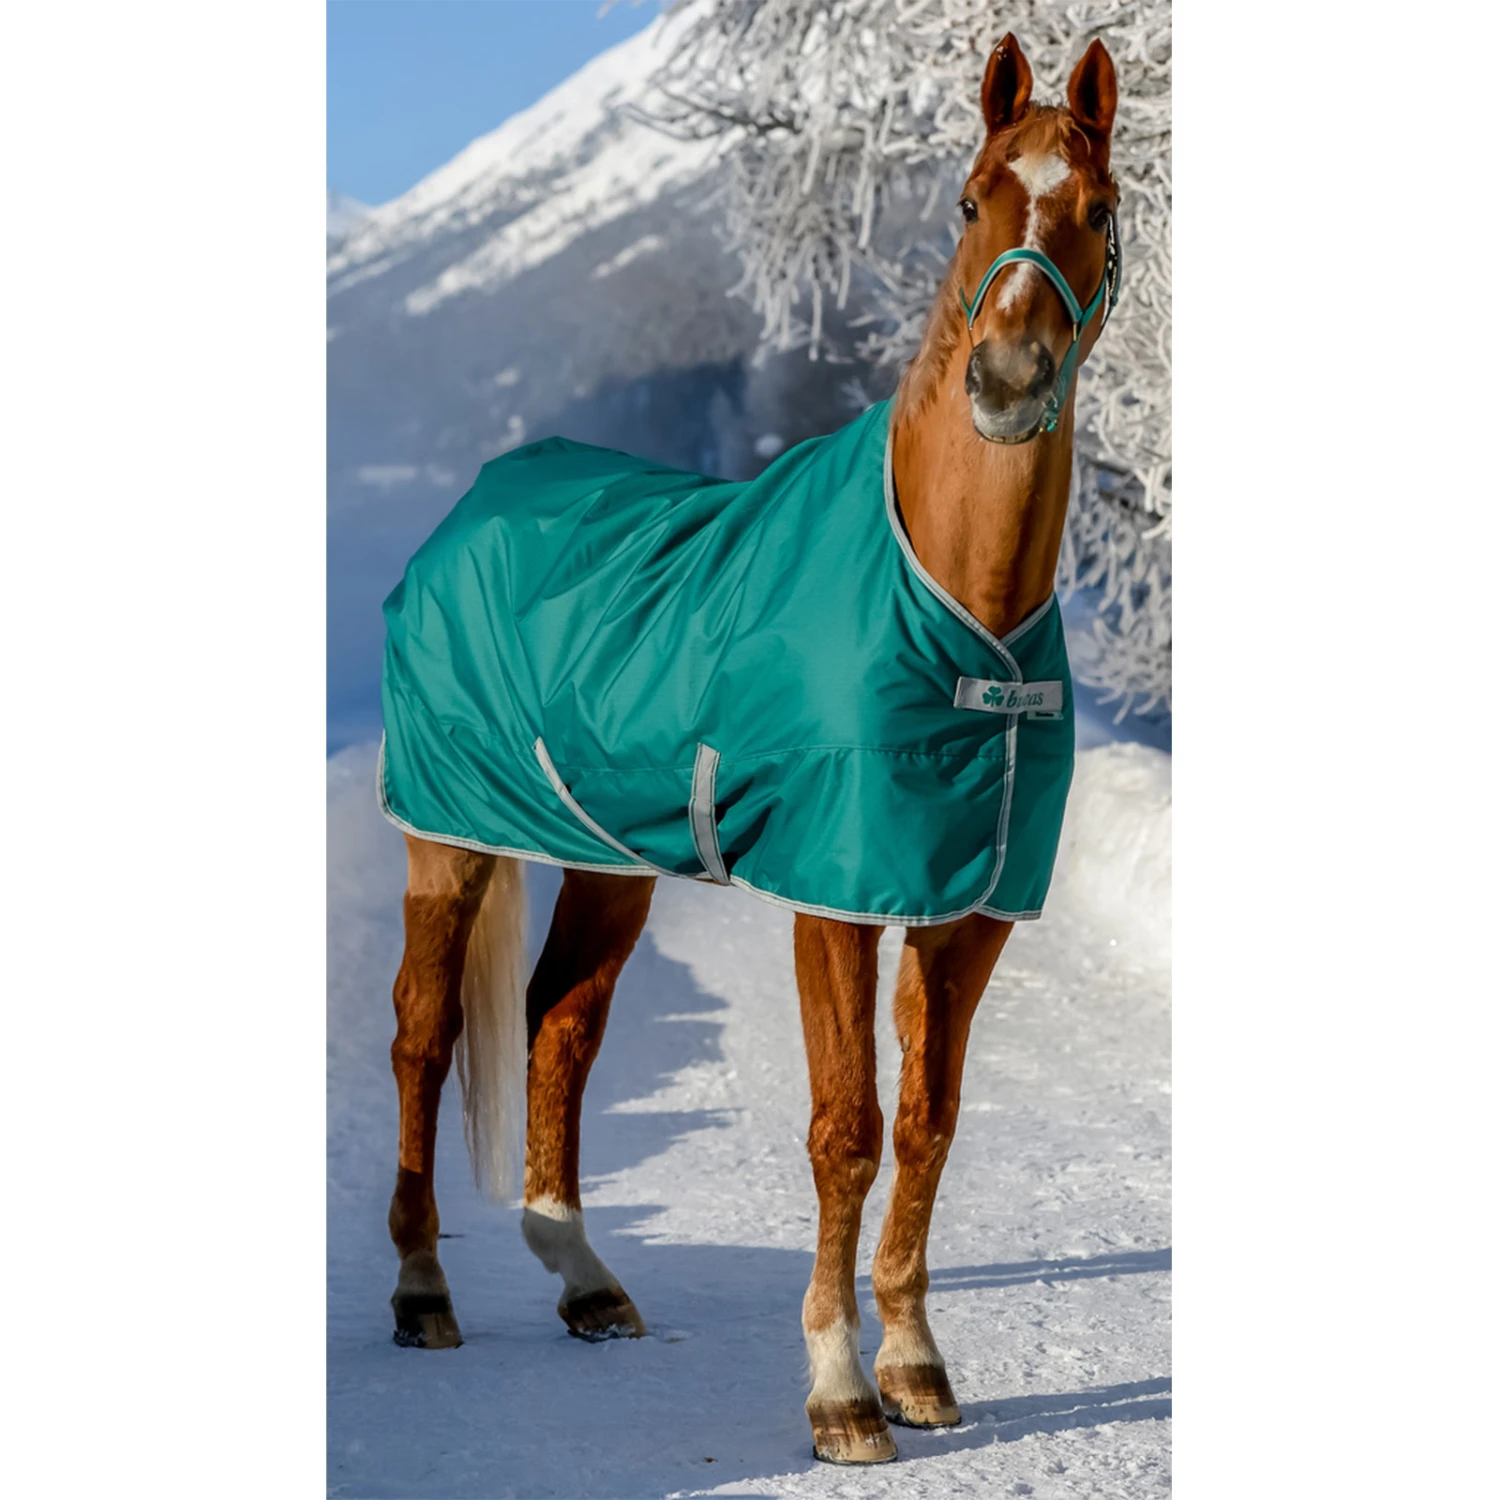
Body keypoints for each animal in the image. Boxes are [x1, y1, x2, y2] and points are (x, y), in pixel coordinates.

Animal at [376, 32, 1121, 1466]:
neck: (960, 611)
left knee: (562, 1022)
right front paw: (839, 1396)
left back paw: (586, 1280)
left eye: (1102, 212)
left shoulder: (968, 912)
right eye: (969, 201)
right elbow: (848, 1129)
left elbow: (930, 1128)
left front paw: (917, 1367)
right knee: (422, 1038)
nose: (1007, 382)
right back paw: (424, 1291)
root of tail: (476, 506)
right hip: (449, 840)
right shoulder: (835, 897)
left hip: (609, 862)